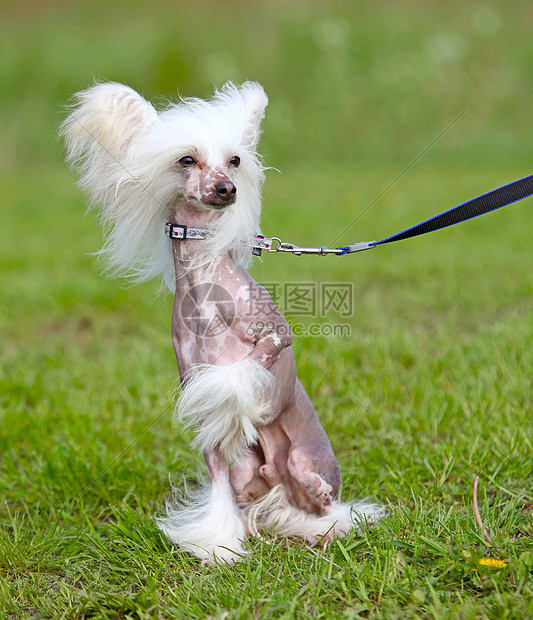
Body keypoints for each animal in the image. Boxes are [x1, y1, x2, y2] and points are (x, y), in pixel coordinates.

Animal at [60, 81, 380, 560]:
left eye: (235, 160)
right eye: (186, 159)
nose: (227, 188)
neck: (204, 277)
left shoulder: (276, 334)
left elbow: (239, 374)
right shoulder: (201, 403)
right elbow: (218, 483)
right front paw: (222, 545)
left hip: (305, 463)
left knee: (327, 507)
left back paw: (324, 526)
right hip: (252, 475)